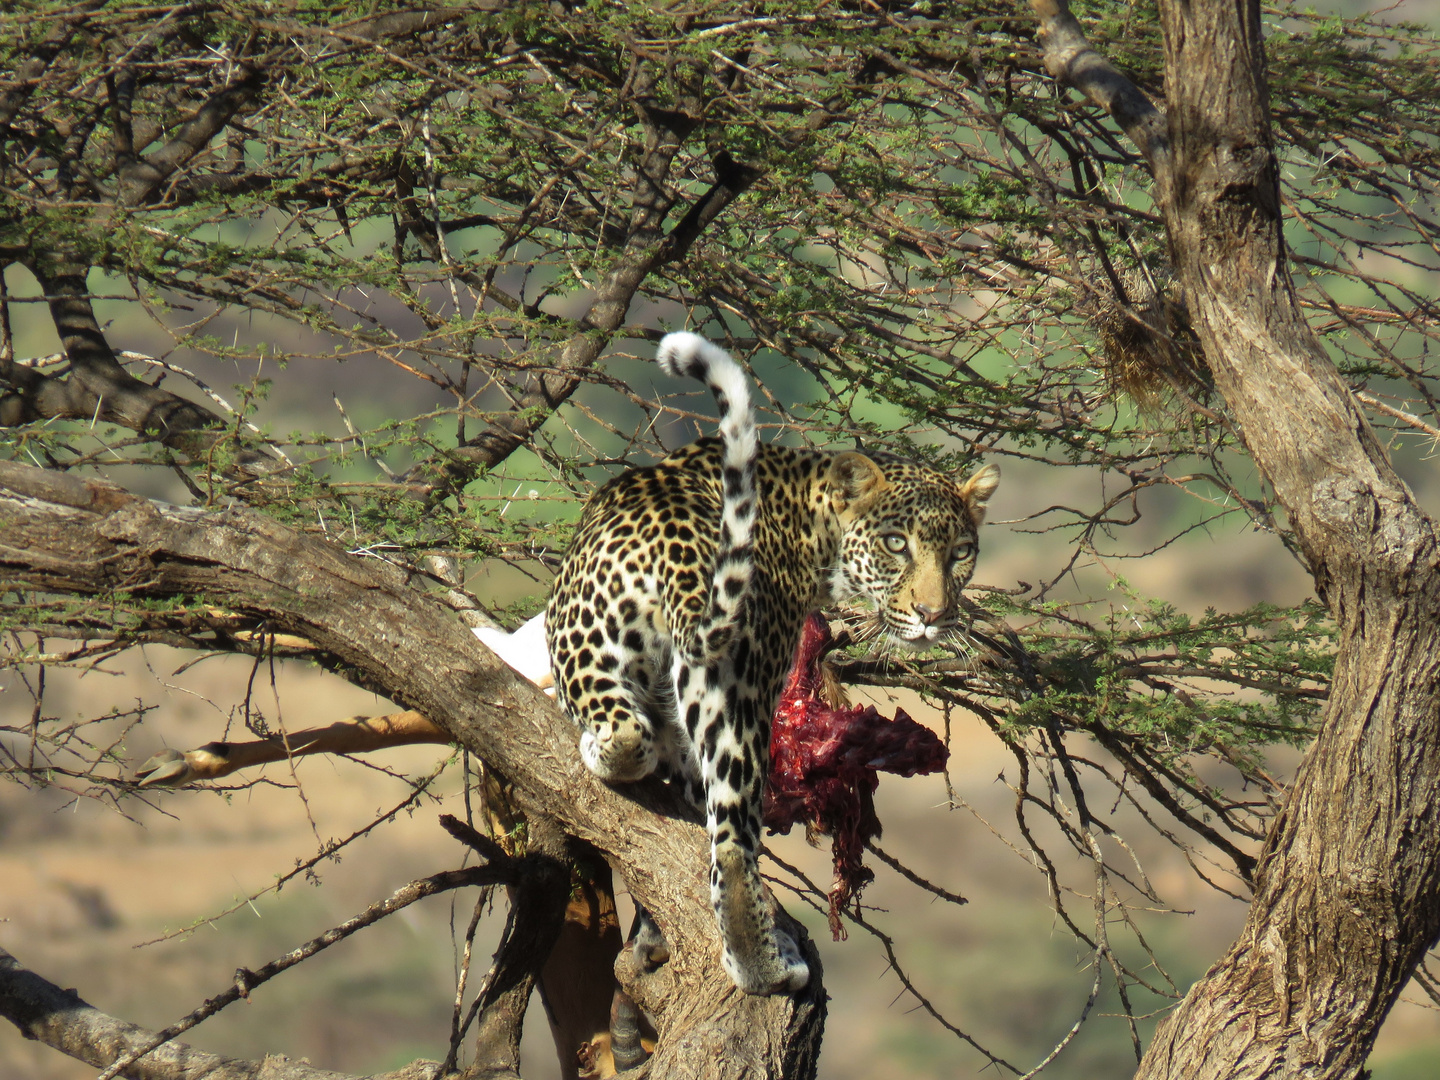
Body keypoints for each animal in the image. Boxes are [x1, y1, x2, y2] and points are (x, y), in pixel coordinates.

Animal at [541, 332, 1002, 996]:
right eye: (896, 545)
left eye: (961, 552)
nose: (933, 614)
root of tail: (677, 544)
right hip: (711, 672)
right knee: (730, 835)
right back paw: (764, 966)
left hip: (595, 634)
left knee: (639, 745)